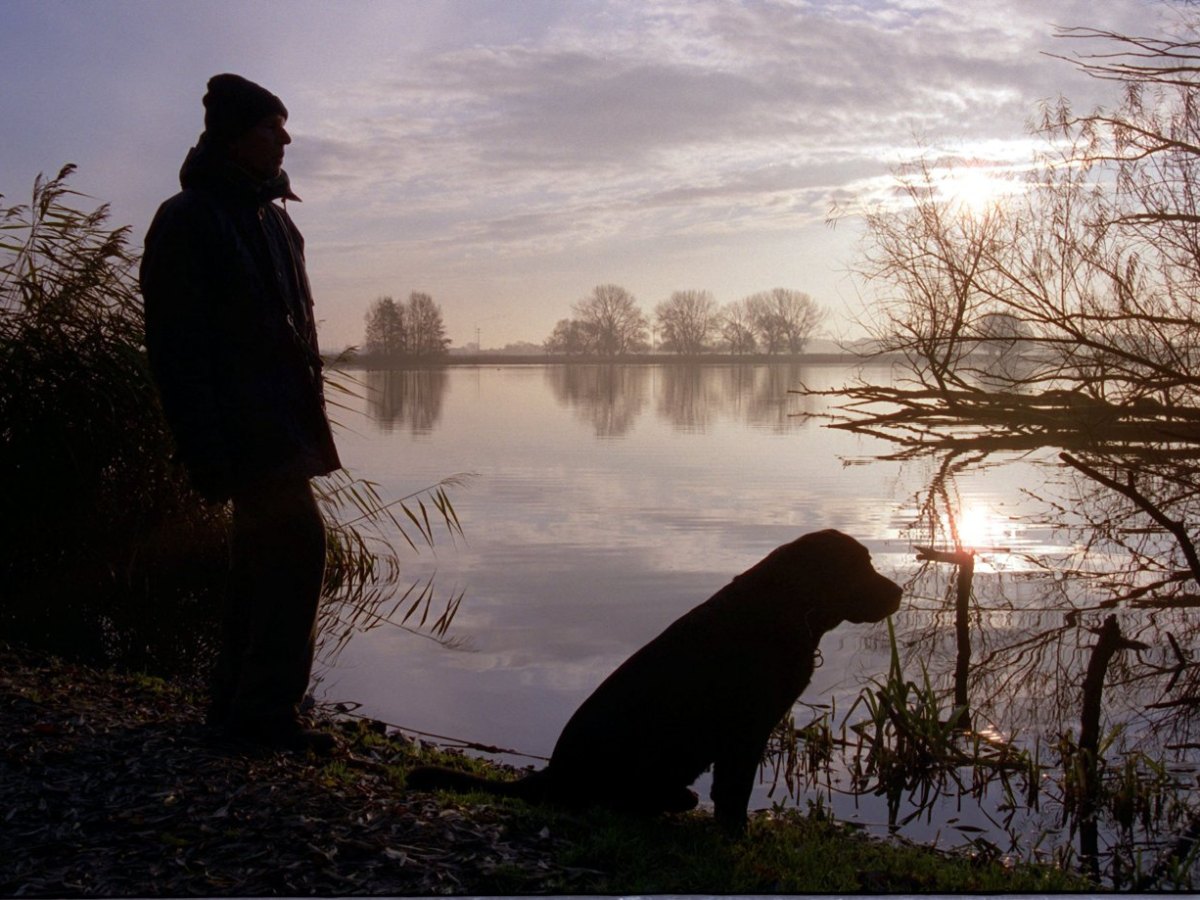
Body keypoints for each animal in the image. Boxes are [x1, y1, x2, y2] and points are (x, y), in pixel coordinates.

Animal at [405, 528, 902, 830]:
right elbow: (734, 791)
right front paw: (736, 834)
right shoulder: (746, 731)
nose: (898, 592)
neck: (784, 608)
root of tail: (552, 774)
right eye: (862, 567)